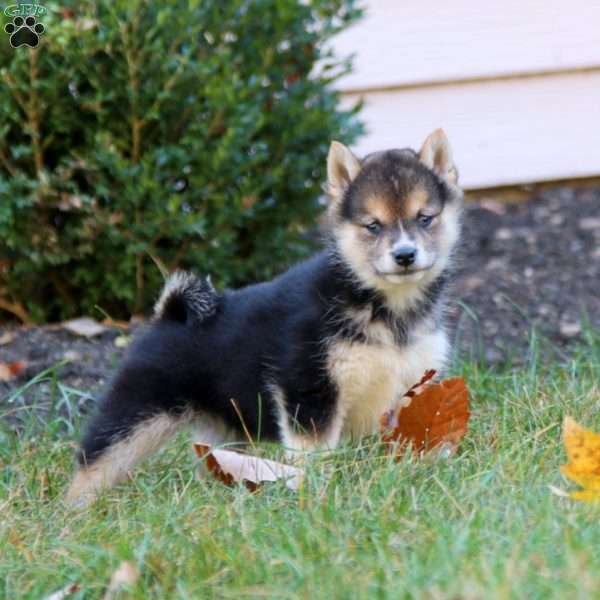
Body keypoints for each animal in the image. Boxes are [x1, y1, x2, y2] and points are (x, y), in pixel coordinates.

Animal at [65, 129, 462, 504]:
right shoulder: (309, 388)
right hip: (135, 414)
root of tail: (169, 313)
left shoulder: (412, 384)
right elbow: (314, 454)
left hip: (224, 427)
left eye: (425, 218)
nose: (405, 254)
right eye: (373, 226)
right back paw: (73, 512)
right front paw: (314, 493)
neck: (382, 305)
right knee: (94, 462)